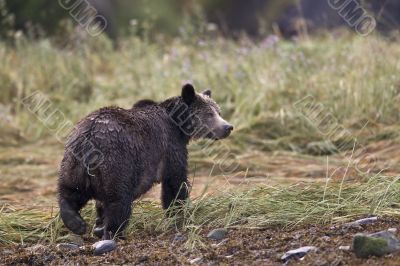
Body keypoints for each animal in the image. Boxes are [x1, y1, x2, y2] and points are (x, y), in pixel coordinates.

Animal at [55, 83, 231, 239]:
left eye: (219, 111)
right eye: (209, 114)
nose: (228, 127)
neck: (178, 125)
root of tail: (90, 137)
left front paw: (98, 222)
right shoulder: (170, 147)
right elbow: (175, 182)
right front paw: (178, 214)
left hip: (74, 162)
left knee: (70, 190)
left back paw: (76, 223)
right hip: (116, 162)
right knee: (118, 201)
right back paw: (112, 232)